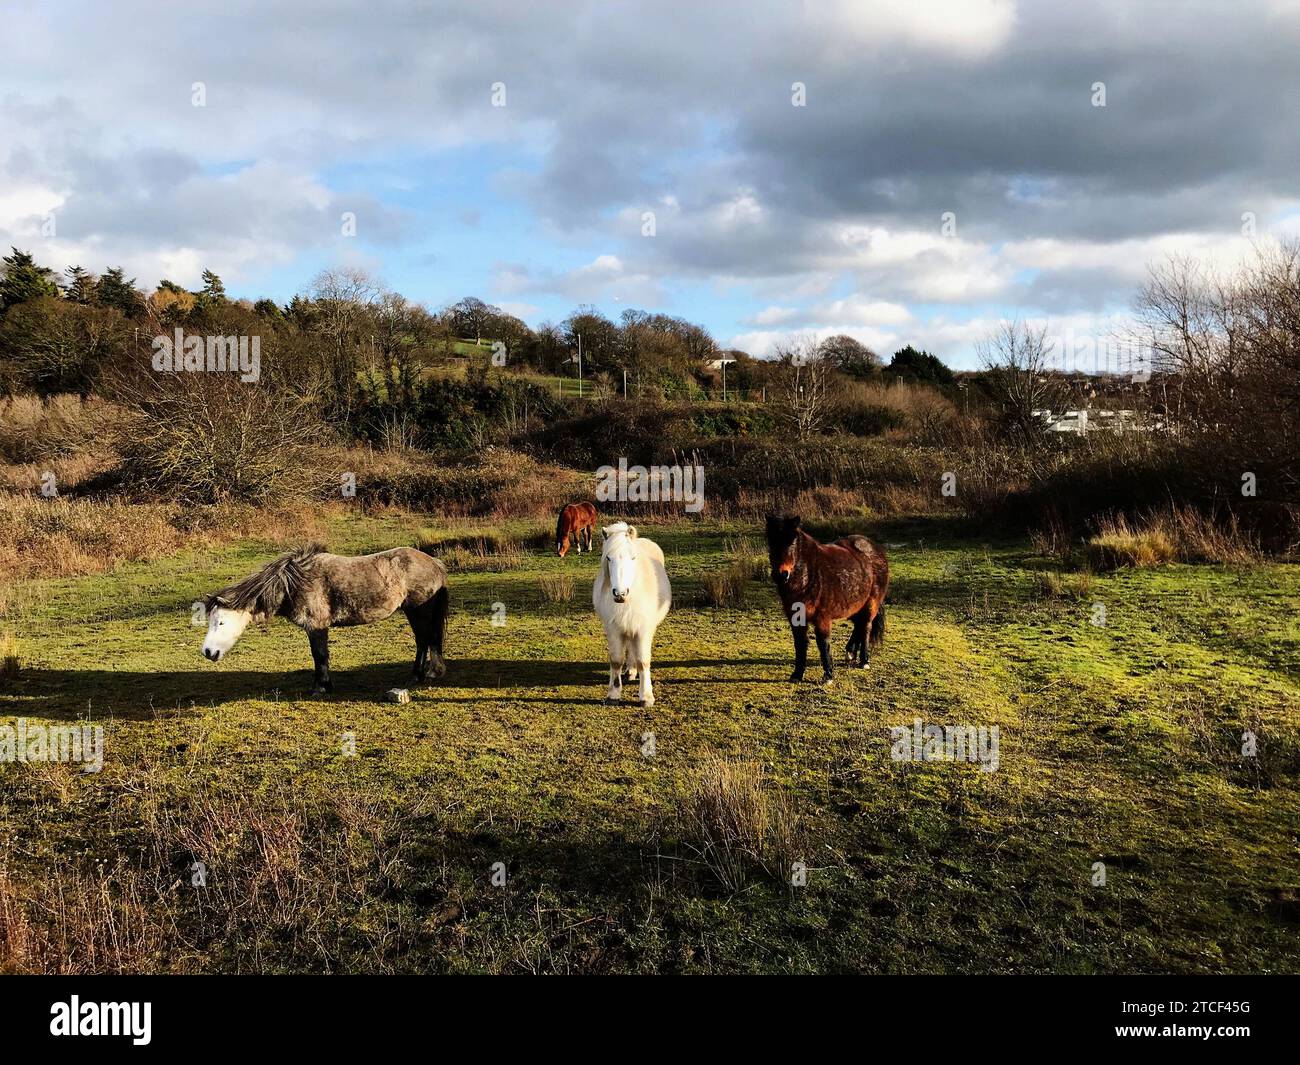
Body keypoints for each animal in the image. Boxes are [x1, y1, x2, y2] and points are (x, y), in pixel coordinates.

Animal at [592, 525, 670, 707]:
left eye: (633, 557)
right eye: (608, 558)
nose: (620, 594)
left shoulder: (643, 629)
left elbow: (643, 661)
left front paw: (646, 696)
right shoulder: (614, 629)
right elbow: (616, 660)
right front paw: (613, 694)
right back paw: (629, 671)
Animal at [764, 514, 889, 681]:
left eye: (792, 542)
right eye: (771, 542)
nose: (781, 575)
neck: (809, 575)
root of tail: (874, 548)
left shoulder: (822, 617)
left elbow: (823, 643)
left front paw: (828, 675)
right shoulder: (796, 618)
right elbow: (800, 644)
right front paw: (797, 674)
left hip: (871, 603)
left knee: (866, 627)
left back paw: (864, 661)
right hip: (855, 605)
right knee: (859, 625)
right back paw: (850, 653)